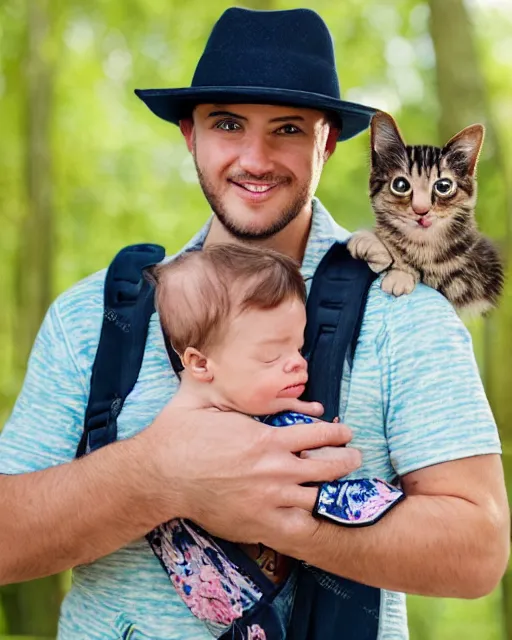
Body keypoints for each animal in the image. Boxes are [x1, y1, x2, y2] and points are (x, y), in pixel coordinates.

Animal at [348, 110, 504, 316]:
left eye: (443, 187)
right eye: (400, 185)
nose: (421, 210)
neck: (421, 246)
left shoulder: (473, 280)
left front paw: (399, 272)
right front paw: (374, 243)